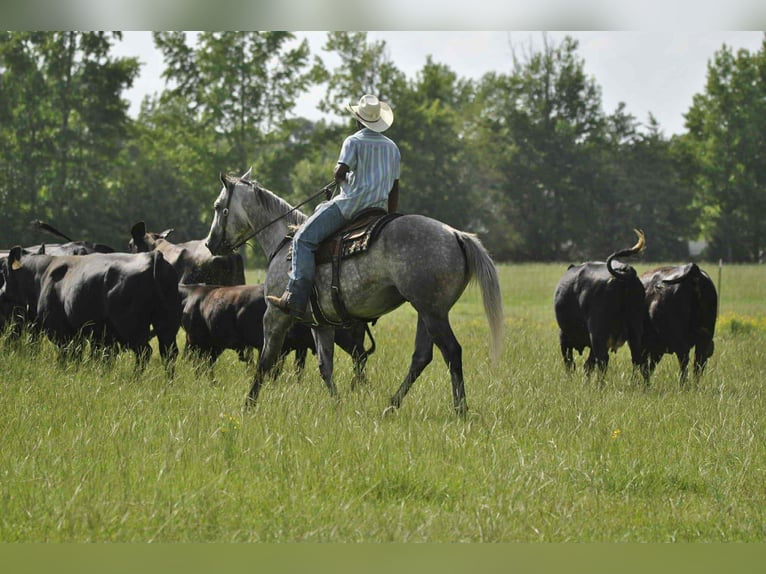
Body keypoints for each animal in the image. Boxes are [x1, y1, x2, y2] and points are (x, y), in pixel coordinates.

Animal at [205, 170, 504, 415]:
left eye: (219, 207)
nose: (210, 244)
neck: (284, 243)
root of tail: (455, 234)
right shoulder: (321, 324)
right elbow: (325, 367)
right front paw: (337, 405)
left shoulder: (275, 314)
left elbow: (265, 361)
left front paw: (248, 405)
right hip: (427, 312)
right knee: (422, 357)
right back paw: (391, 406)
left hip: (432, 313)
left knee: (452, 352)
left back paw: (460, 410)